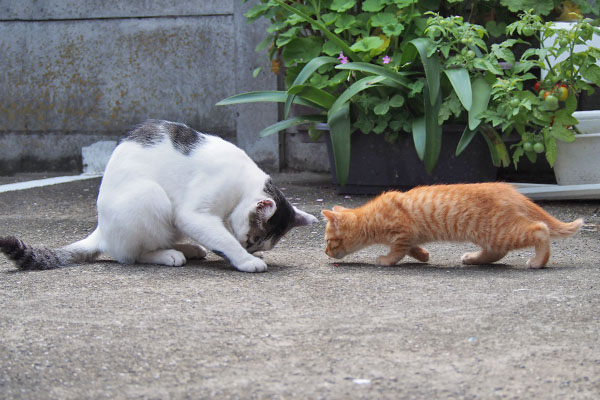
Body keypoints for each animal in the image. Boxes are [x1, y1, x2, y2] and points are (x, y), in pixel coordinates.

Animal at [0, 120, 318, 274]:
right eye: (252, 239)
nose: (250, 248)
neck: (241, 181)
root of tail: (102, 230)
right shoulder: (194, 213)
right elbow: (223, 238)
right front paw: (245, 260)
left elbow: (220, 237)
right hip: (150, 196)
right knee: (131, 255)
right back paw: (169, 255)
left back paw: (188, 248)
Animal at [322, 183, 584, 268]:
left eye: (327, 241)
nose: (325, 252)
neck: (370, 218)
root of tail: (508, 190)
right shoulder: (410, 236)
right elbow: (411, 248)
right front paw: (424, 255)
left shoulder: (404, 231)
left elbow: (398, 251)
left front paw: (385, 260)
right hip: (490, 234)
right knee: (496, 253)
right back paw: (473, 258)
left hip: (500, 231)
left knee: (540, 229)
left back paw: (539, 261)